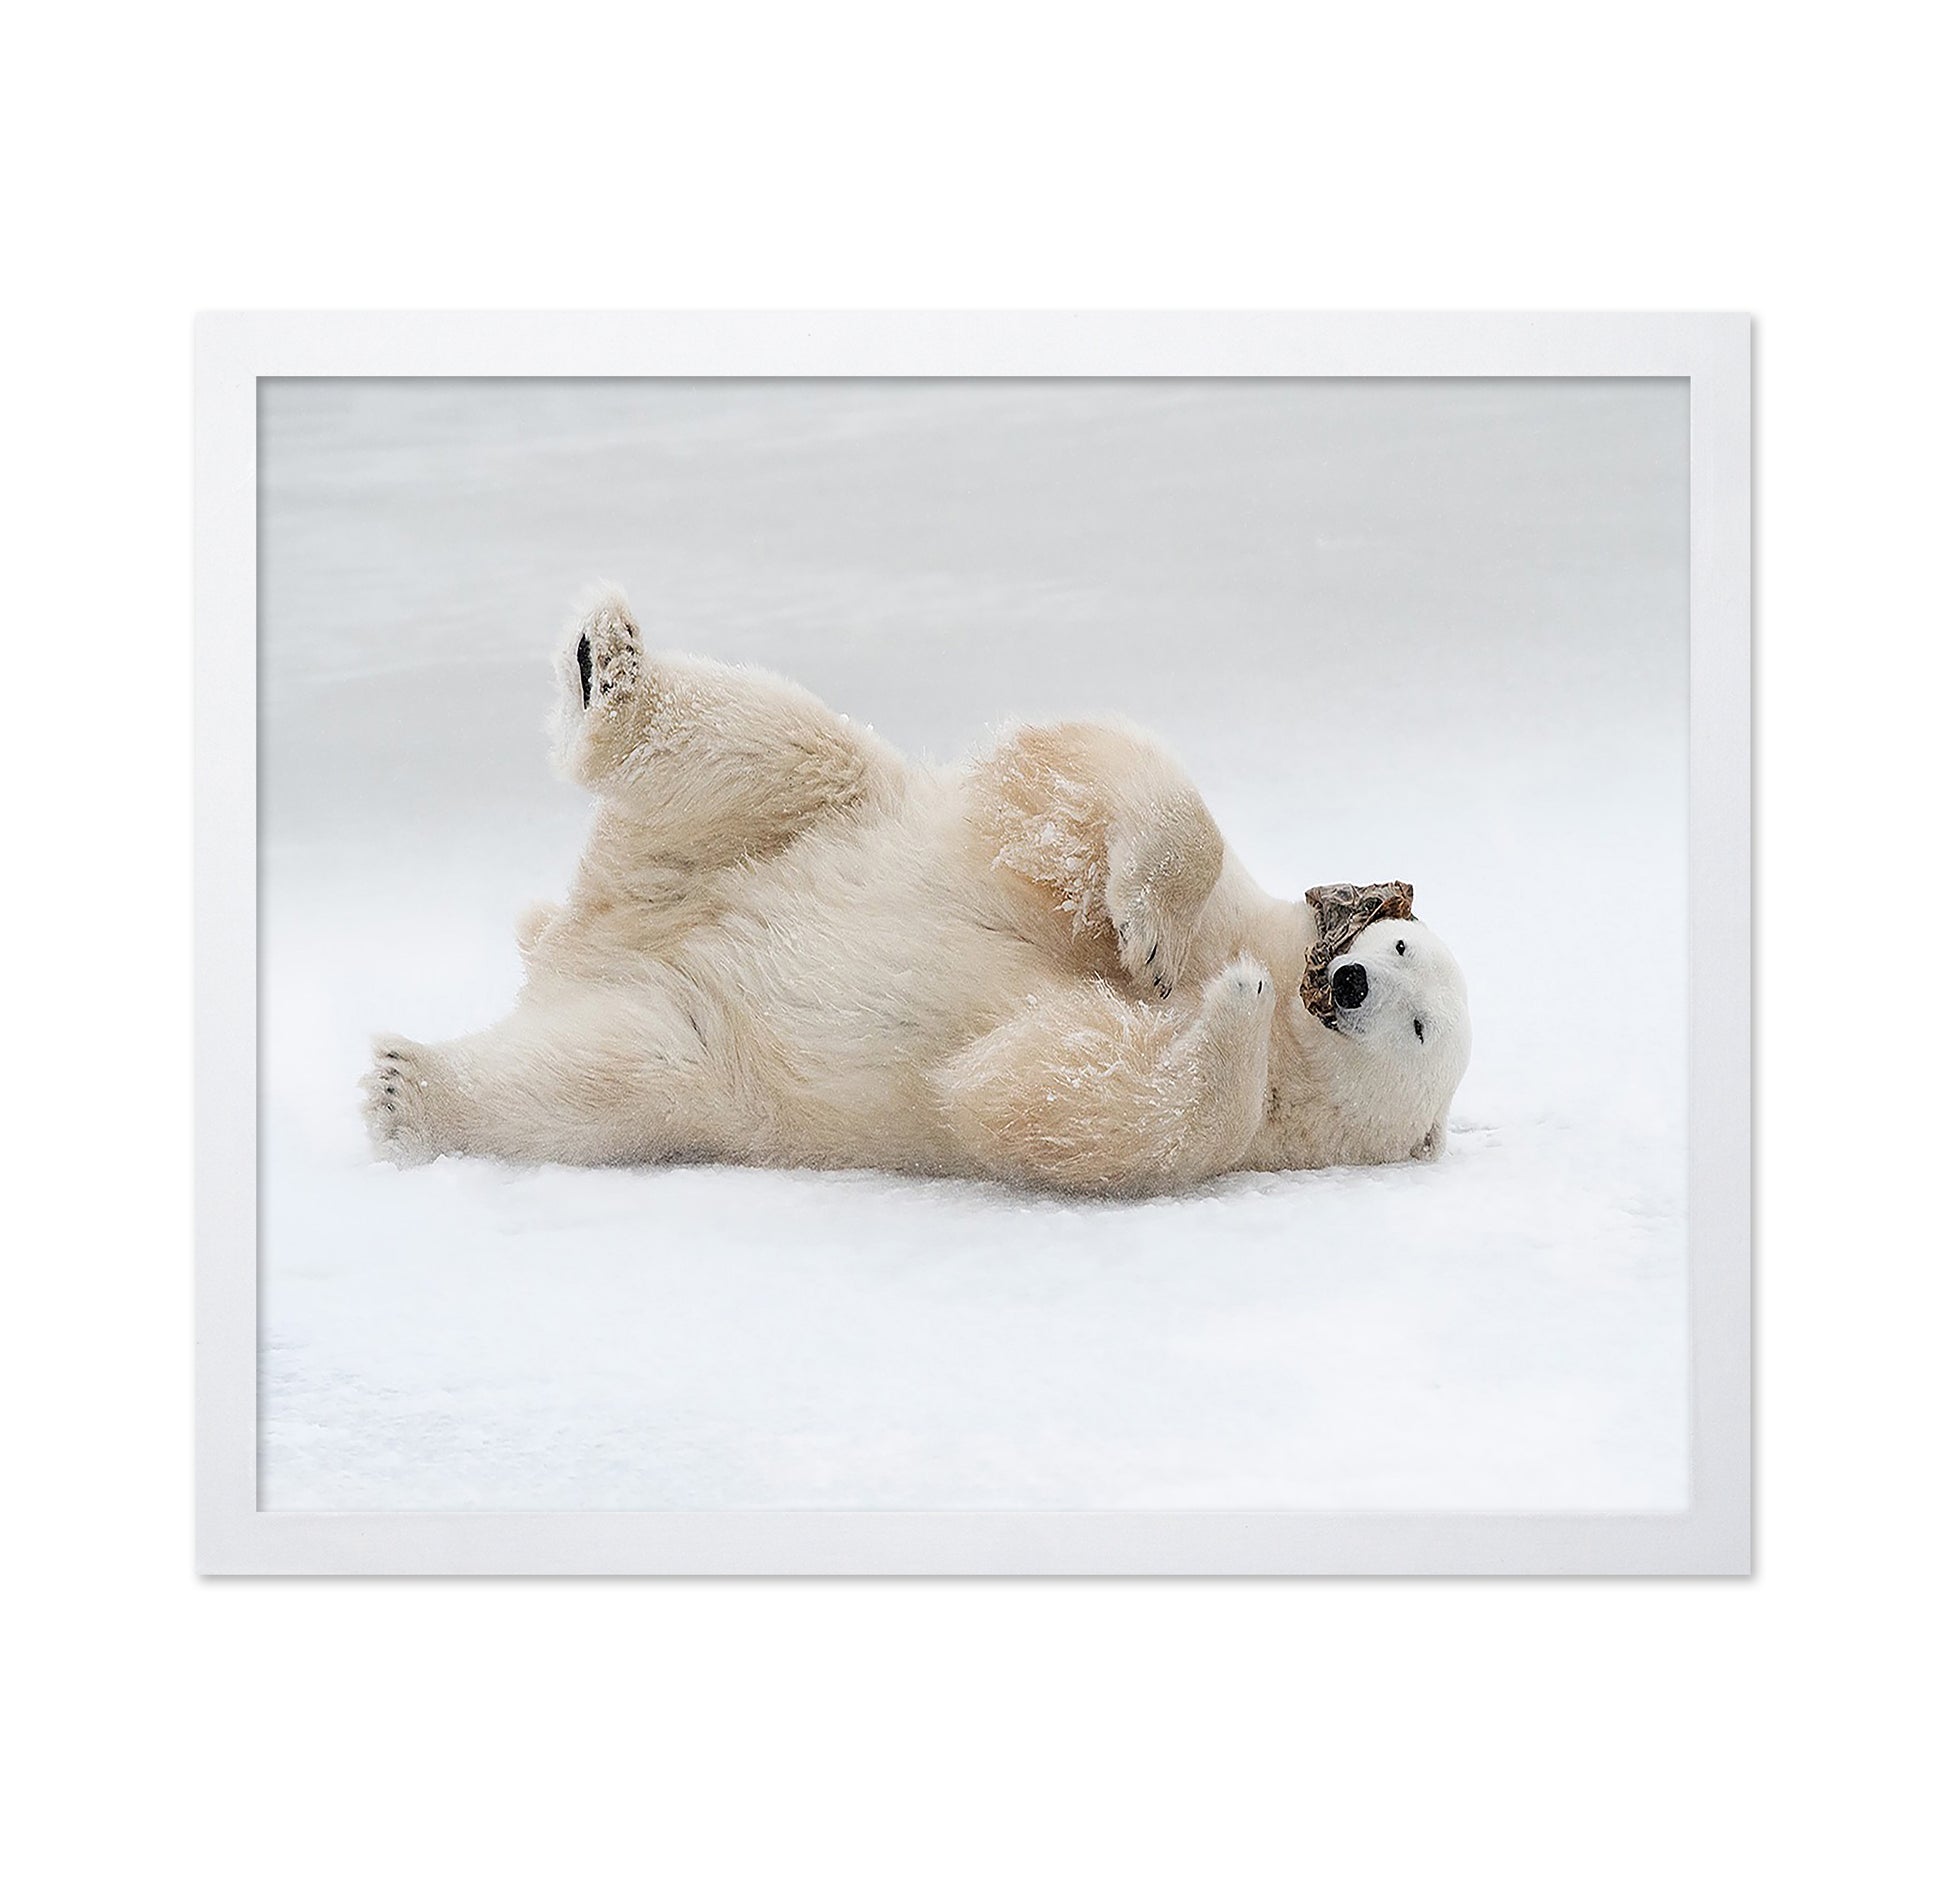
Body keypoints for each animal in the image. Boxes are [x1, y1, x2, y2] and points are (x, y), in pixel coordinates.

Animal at [362, 589, 1472, 1194]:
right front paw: (1152, 940)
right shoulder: (1220, 893)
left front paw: (1226, 1003)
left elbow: (1076, 1102)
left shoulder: (1257, 1140)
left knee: (592, 1081)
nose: (1351, 984)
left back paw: (409, 1090)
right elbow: (1092, 785)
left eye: (1420, 1027)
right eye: (1399, 948)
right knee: (769, 739)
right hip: (791, 823)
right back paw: (609, 665)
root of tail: (590, 931)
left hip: (702, 1049)